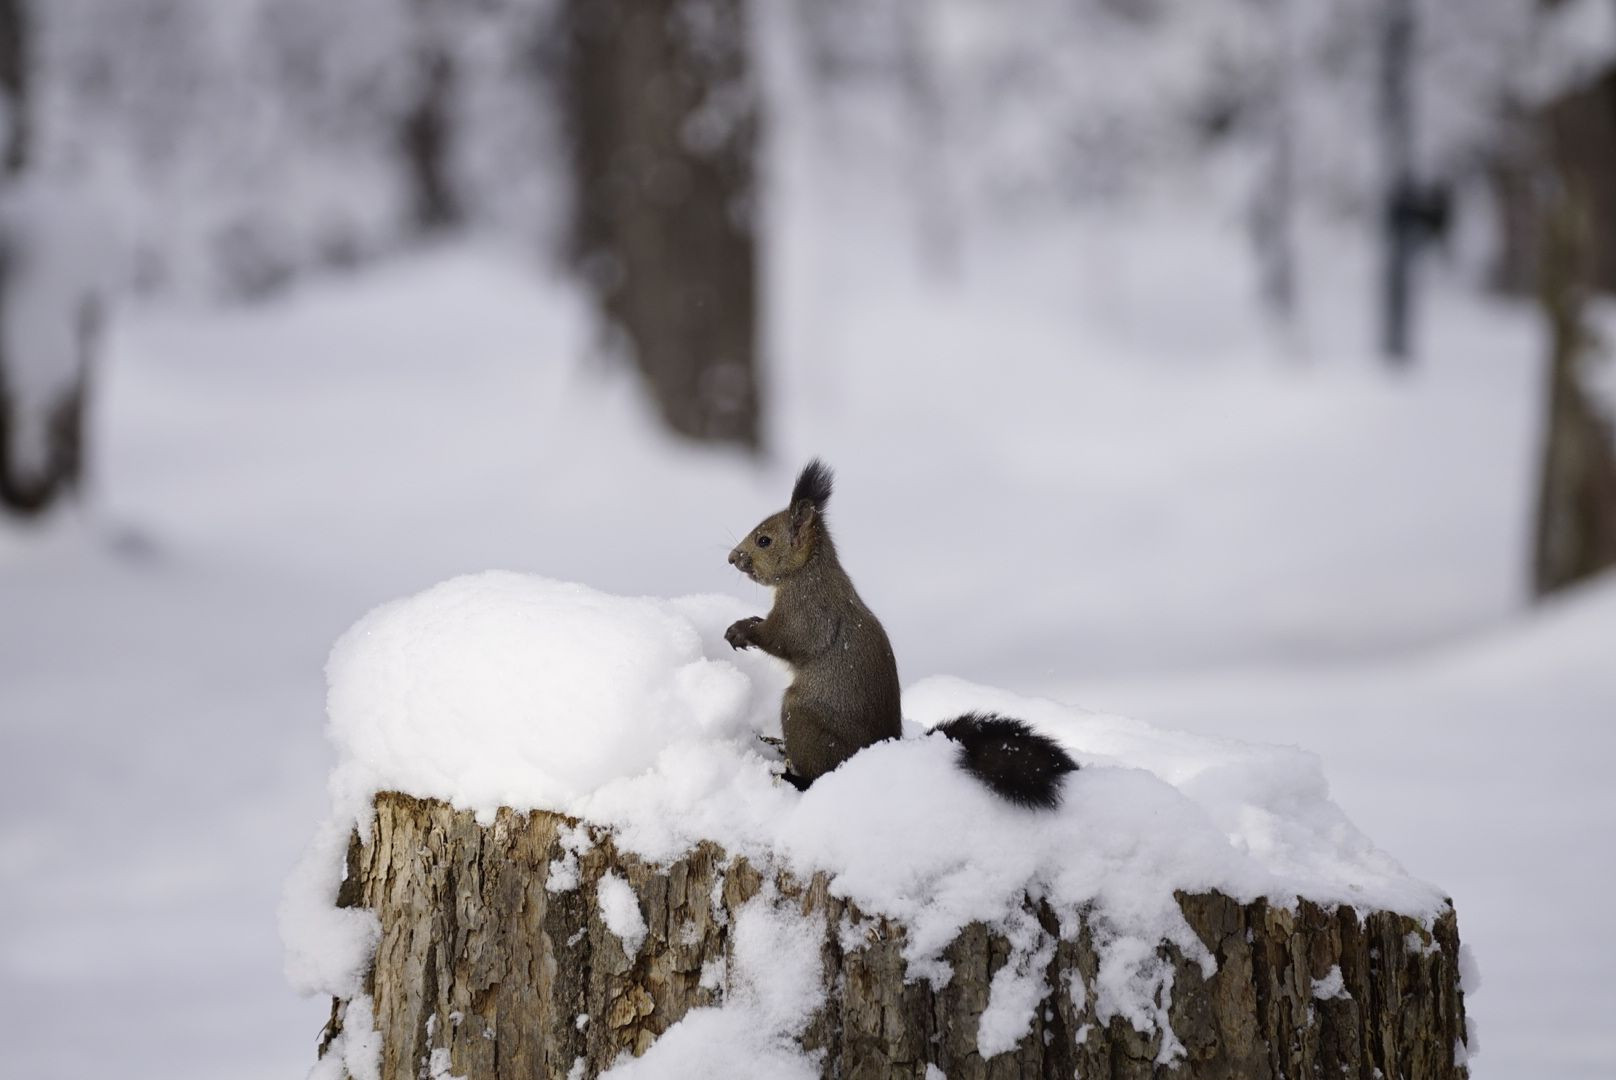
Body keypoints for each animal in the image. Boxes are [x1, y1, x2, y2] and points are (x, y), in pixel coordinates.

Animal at [726, 459, 1078, 809]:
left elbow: (785, 639)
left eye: (764, 540)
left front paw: (741, 630)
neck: (807, 570)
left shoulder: (807, 612)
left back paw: (792, 775)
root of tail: (883, 746)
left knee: (819, 773)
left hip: (800, 715)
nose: (732, 558)